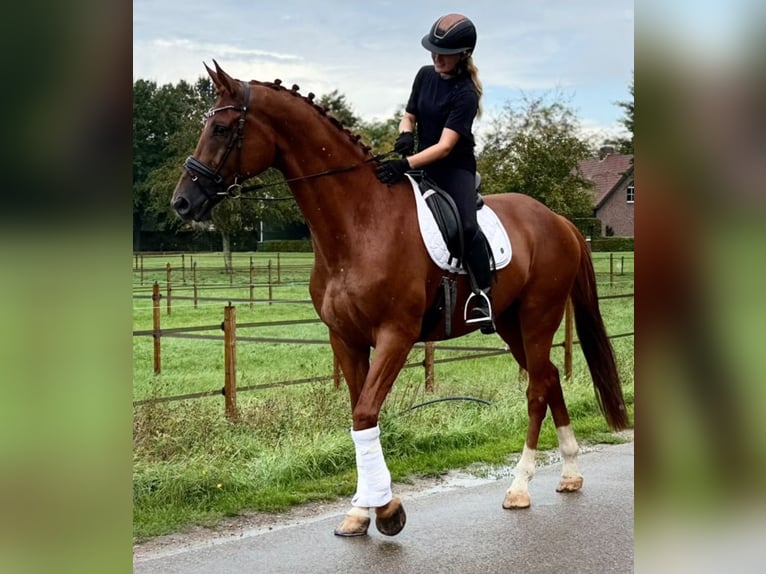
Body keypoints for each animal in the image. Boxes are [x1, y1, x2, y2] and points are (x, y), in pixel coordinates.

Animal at [171, 61, 630, 537]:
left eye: (222, 128)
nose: (182, 202)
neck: (358, 222)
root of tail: (558, 220)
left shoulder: (396, 334)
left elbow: (365, 414)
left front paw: (387, 510)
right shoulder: (346, 338)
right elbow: (359, 414)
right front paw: (361, 511)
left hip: (539, 316)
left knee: (537, 389)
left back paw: (520, 487)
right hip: (508, 323)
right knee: (551, 377)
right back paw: (570, 472)